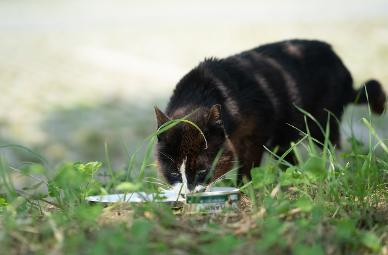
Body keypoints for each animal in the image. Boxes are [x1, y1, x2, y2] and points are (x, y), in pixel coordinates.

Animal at [153, 39, 386, 191]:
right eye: (174, 174)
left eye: (202, 171)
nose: (189, 192)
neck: (203, 90)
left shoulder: (257, 132)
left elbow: (248, 162)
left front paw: (243, 186)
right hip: (285, 134)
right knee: (288, 155)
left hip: (321, 121)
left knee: (331, 146)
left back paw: (333, 172)